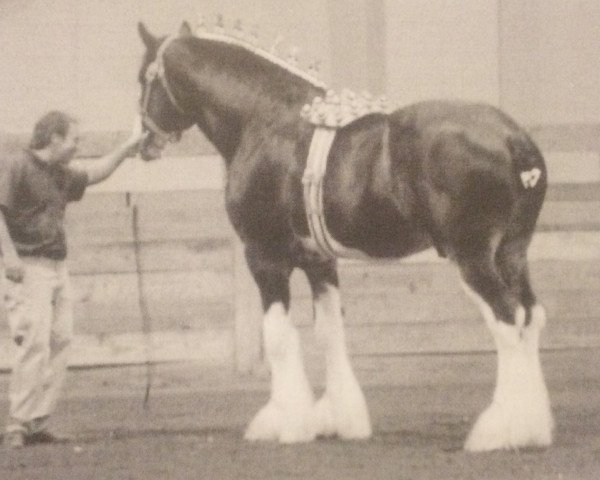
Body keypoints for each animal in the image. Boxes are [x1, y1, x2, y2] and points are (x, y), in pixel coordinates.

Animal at [136, 19, 552, 454]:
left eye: (143, 77)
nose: (144, 140)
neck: (264, 116)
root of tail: (512, 138)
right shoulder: (319, 261)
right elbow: (329, 332)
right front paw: (338, 419)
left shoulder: (264, 256)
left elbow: (278, 336)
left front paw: (284, 423)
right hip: (512, 253)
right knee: (530, 316)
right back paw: (533, 427)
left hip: (473, 257)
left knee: (507, 319)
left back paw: (498, 431)